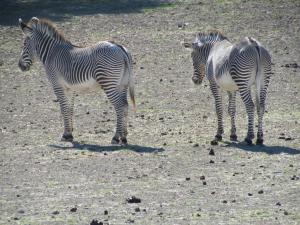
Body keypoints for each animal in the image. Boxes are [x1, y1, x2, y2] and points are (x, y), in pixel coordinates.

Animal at [18, 16, 135, 145]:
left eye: (24, 44)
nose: (20, 66)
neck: (51, 53)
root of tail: (120, 48)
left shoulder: (57, 85)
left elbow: (63, 109)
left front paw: (65, 135)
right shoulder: (69, 88)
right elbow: (69, 109)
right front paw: (70, 133)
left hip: (109, 83)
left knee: (120, 107)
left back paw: (116, 137)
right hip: (122, 84)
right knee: (125, 105)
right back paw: (124, 137)